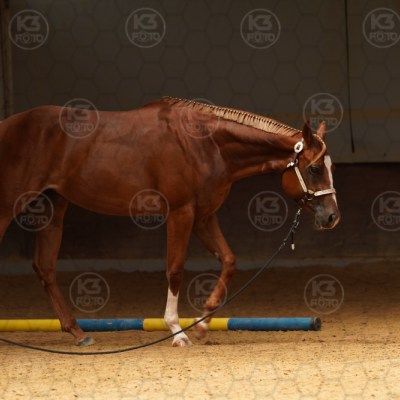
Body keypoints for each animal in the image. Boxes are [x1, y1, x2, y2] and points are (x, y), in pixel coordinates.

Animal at [0, 97, 340, 347]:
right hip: (9, 205)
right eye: (313, 169)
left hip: (53, 206)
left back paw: (78, 333)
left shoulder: (203, 216)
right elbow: (175, 270)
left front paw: (203, 324)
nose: (332, 216)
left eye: (330, 167)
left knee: (45, 267)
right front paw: (177, 331)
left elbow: (229, 261)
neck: (205, 144)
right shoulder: (181, 212)